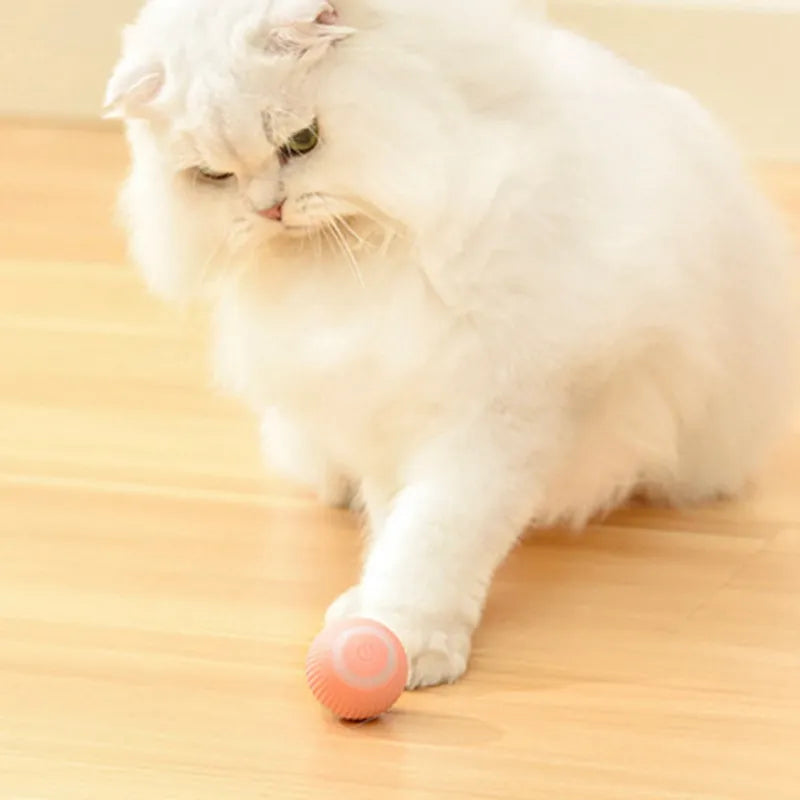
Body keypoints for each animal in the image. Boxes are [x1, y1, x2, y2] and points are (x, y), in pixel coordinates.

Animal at [106, 0, 792, 688]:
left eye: (302, 141)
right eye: (214, 176)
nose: (266, 209)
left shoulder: (496, 418)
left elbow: (434, 537)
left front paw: (404, 638)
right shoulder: (377, 403)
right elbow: (395, 522)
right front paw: (368, 607)